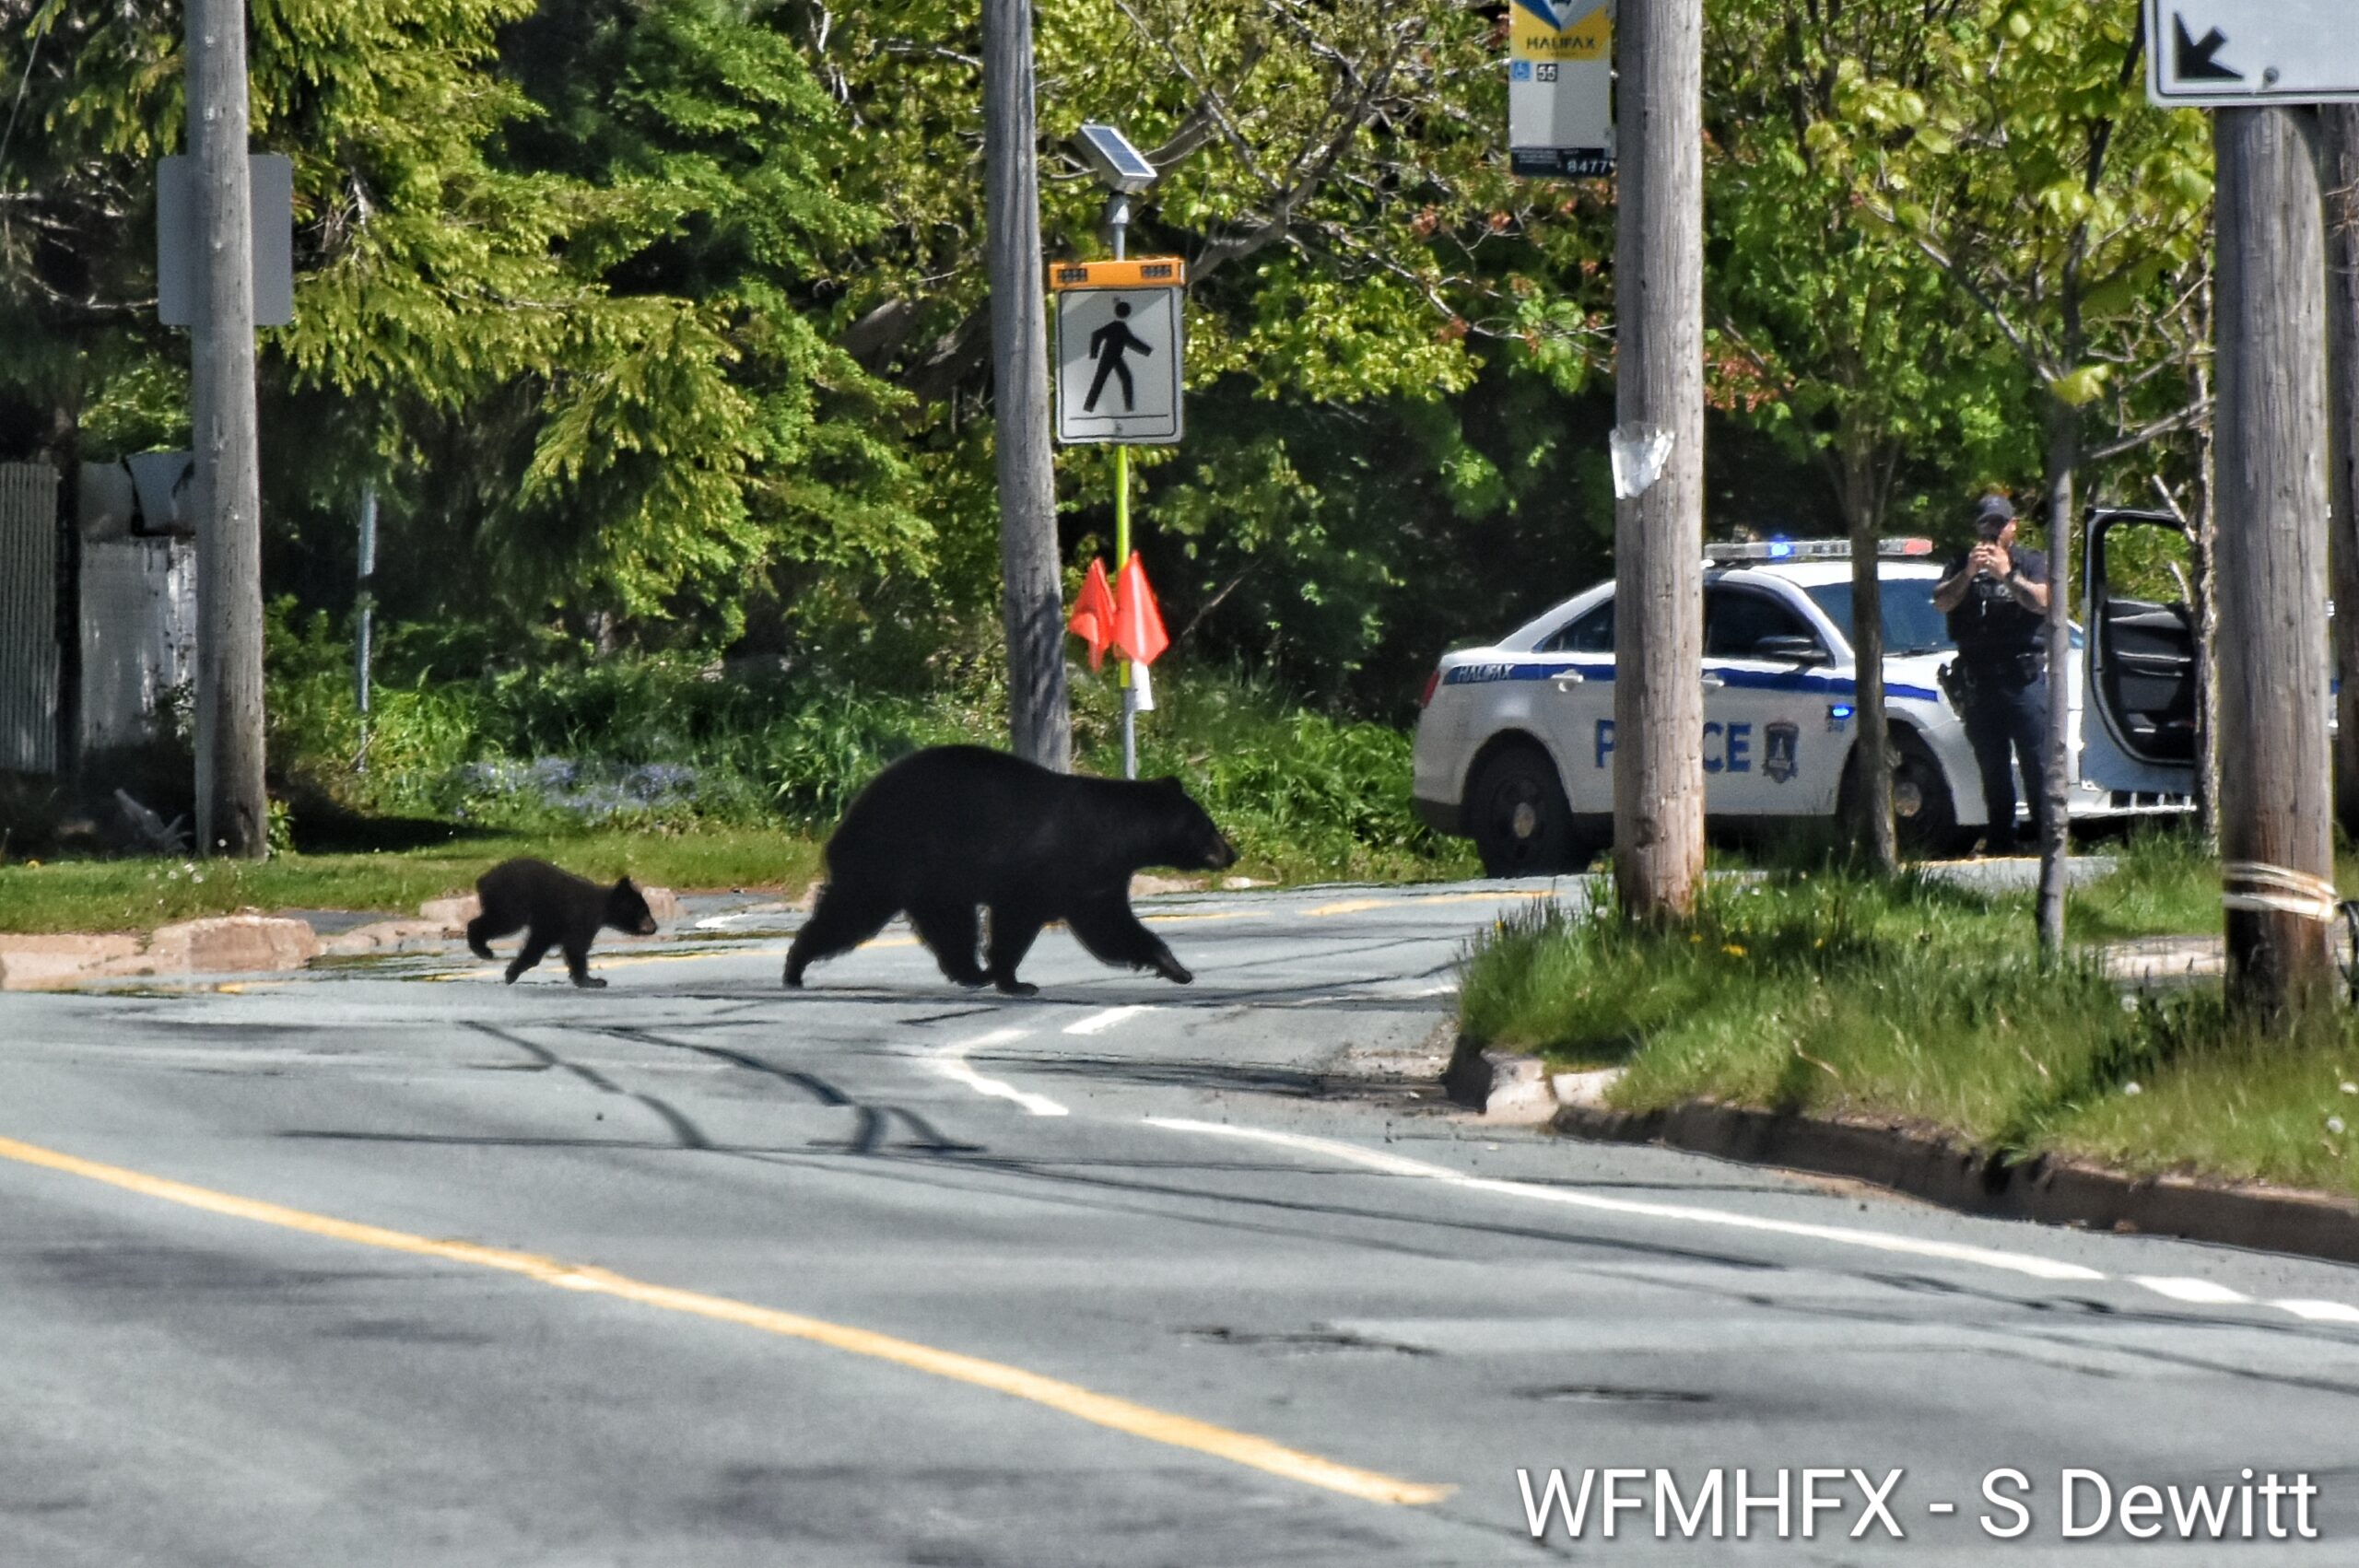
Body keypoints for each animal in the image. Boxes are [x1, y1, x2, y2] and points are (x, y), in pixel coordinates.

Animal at [466, 857, 659, 988]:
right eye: (644, 911)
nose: (654, 927)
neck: (601, 907)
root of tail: (482, 880)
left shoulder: (550, 925)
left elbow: (541, 946)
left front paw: (511, 973)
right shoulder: (579, 919)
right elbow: (575, 947)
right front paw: (593, 981)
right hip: (510, 902)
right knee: (499, 922)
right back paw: (484, 951)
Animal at [783, 745, 1237, 996]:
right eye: (1208, 826)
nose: (1231, 853)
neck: (1121, 836)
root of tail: (850, 816)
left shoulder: (1097, 879)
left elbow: (1109, 927)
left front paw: (1176, 968)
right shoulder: (1058, 868)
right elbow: (1037, 923)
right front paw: (1017, 982)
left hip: (936, 880)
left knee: (950, 926)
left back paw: (971, 973)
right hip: (890, 858)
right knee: (850, 914)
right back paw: (795, 967)